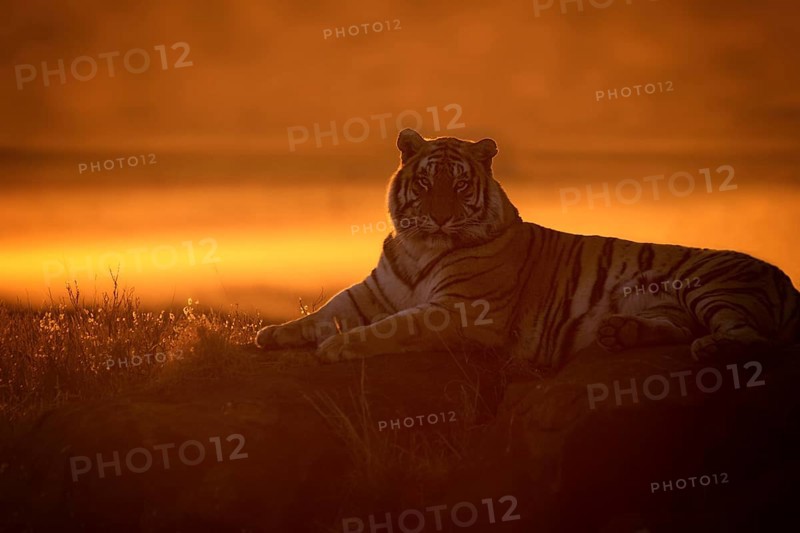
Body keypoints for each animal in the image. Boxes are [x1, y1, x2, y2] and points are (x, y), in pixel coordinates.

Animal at [256, 128, 800, 367]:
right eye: (427, 180)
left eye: (458, 184)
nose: (440, 216)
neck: (420, 247)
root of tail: (785, 278)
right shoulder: (371, 294)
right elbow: (326, 310)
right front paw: (273, 334)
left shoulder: (463, 309)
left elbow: (397, 328)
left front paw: (339, 347)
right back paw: (618, 333)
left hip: (713, 286)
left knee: (753, 337)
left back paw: (708, 347)